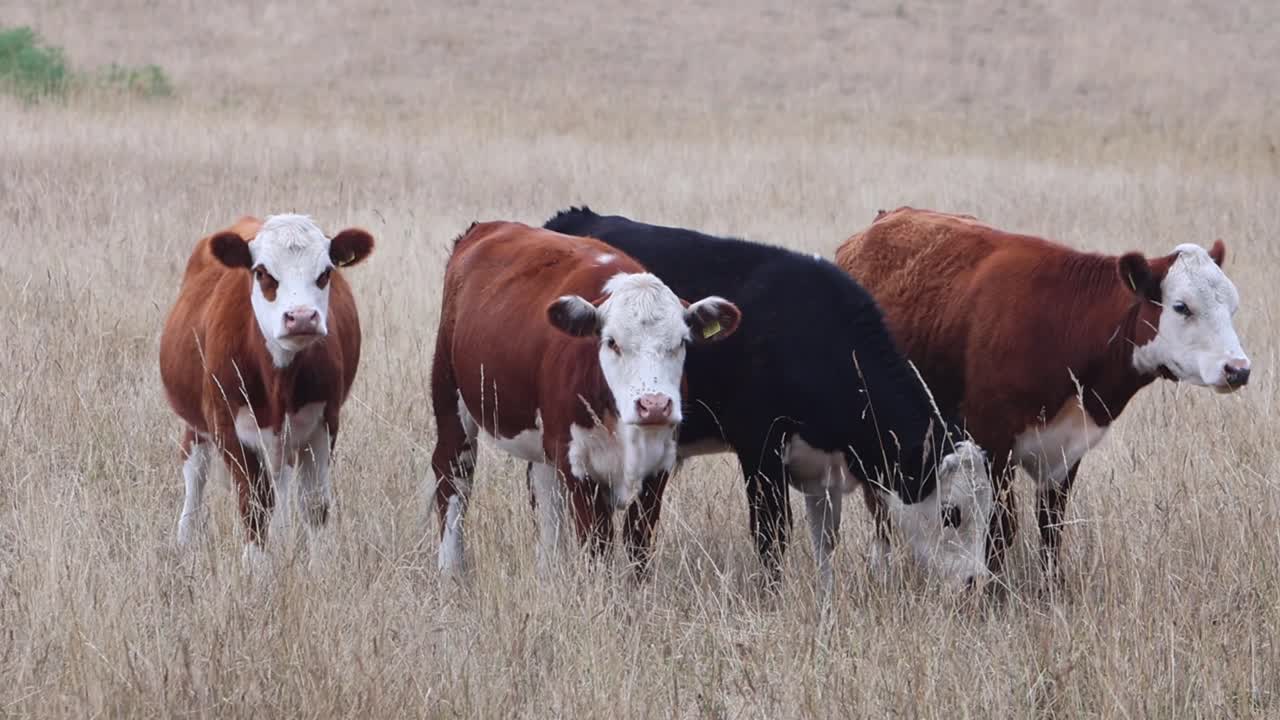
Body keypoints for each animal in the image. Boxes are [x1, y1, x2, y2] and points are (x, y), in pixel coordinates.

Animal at [158, 213, 375, 564]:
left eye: (325, 273)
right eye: (261, 272)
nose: (301, 317)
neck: (277, 381)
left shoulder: (324, 423)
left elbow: (314, 503)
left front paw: (320, 567)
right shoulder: (228, 429)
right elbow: (254, 504)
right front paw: (256, 568)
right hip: (197, 424)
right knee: (195, 470)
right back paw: (184, 539)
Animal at [429, 220, 742, 579]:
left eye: (681, 342)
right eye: (612, 342)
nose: (654, 405)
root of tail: (485, 228)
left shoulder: (658, 467)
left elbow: (638, 547)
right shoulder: (579, 466)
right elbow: (597, 547)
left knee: (545, 496)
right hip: (450, 398)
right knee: (454, 478)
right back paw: (451, 573)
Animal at [542, 207, 996, 595]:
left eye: (989, 511)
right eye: (952, 513)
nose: (976, 580)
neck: (814, 334)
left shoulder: (823, 466)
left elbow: (824, 540)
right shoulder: (760, 451)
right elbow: (771, 534)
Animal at [835, 206, 1251, 582]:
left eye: (1233, 306)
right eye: (1181, 307)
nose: (1238, 369)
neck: (1064, 326)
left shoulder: (1066, 449)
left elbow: (1050, 528)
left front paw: (1051, 590)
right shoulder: (992, 443)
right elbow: (1000, 530)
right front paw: (993, 596)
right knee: (879, 507)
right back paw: (883, 569)